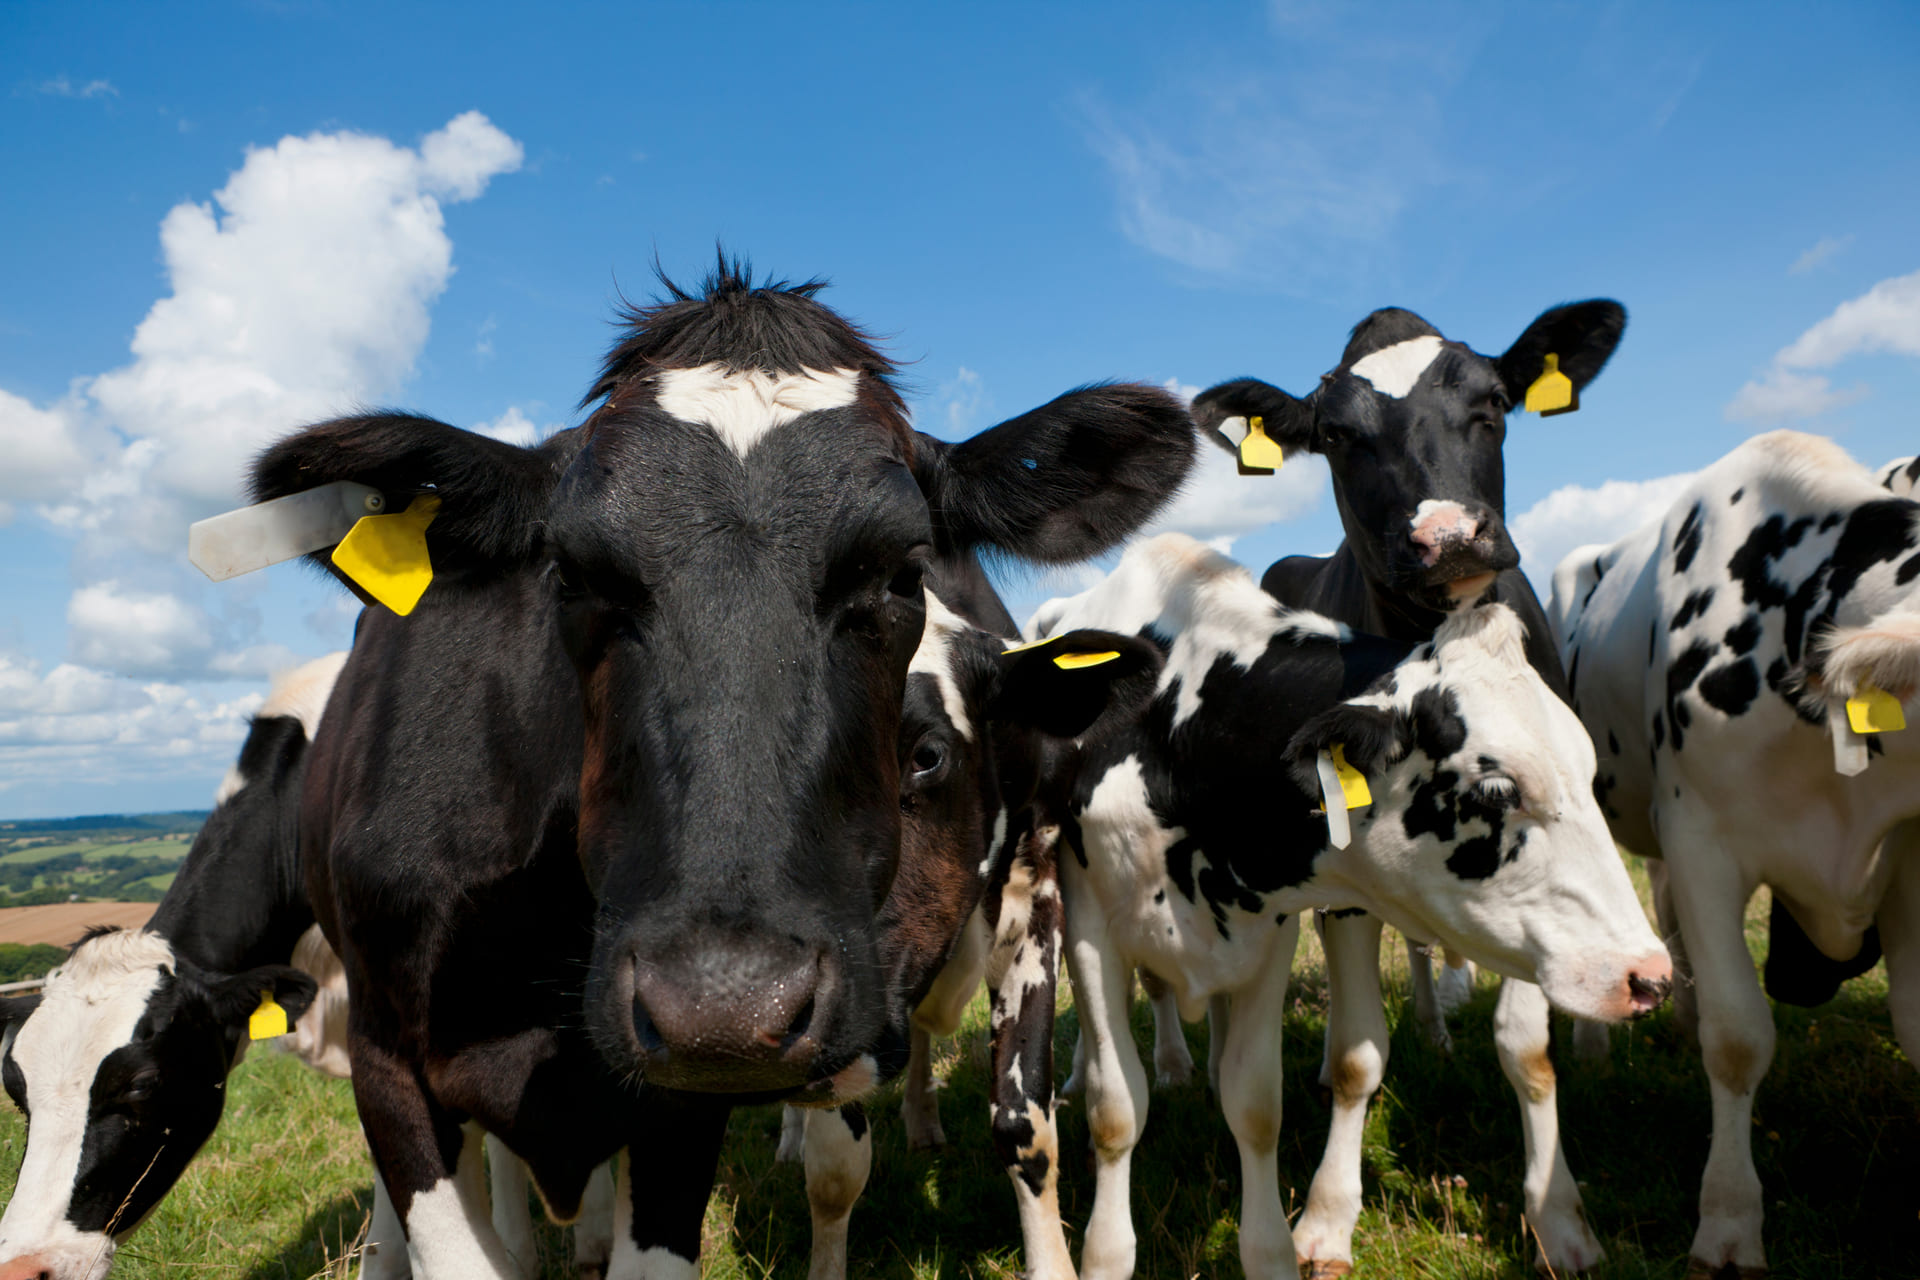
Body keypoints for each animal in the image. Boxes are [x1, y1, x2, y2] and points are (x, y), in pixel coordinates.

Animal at [1012, 532, 1669, 1280]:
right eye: (1497, 790)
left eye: (1589, 775)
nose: (1650, 976)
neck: (1175, 733)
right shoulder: (1092, 929)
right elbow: (1117, 1107)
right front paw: (1105, 1254)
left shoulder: (1265, 927)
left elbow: (1255, 1101)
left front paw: (1269, 1251)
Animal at [1187, 299, 1632, 1269]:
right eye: (1337, 435)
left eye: (1494, 401)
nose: (1447, 535)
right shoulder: (1346, 865)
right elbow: (1361, 1054)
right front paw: (1326, 1216)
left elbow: (1525, 1047)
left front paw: (1560, 1217)